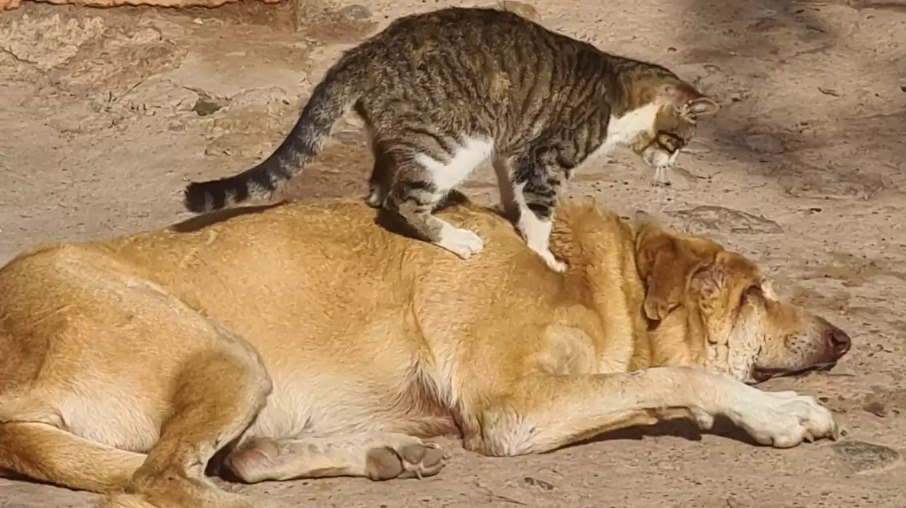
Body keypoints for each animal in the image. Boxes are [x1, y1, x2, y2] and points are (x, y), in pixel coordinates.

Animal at [0, 196, 848, 506]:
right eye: (756, 294)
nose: (844, 339)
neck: (585, 275)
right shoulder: (508, 411)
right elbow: (678, 375)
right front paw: (777, 411)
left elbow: (650, 383)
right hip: (227, 353)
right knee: (160, 481)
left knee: (236, 460)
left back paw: (379, 452)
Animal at [185, 5, 720, 272]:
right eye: (678, 144)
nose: (670, 168)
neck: (620, 89)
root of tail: (365, 51)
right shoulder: (546, 158)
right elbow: (541, 214)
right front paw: (544, 255)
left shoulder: (514, 149)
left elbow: (517, 197)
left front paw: (513, 219)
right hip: (454, 144)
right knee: (402, 200)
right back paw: (456, 239)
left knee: (379, 189)